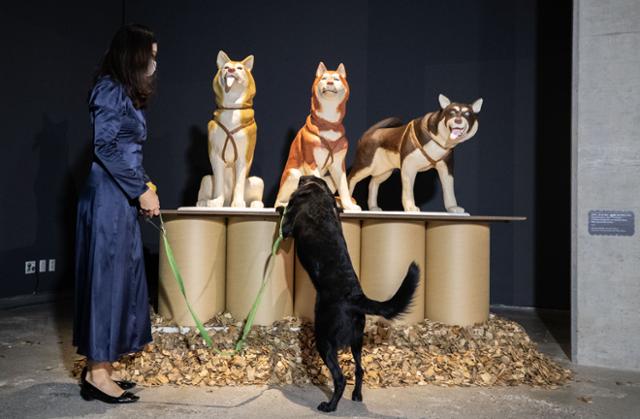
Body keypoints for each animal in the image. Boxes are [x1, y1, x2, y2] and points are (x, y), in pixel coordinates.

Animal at [280, 176, 420, 414]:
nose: (302, 179)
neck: (319, 194)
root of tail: (356, 298)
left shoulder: (288, 226)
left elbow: (284, 222)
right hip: (357, 341)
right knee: (359, 370)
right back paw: (356, 395)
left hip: (324, 340)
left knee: (340, 378)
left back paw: (329, 406)